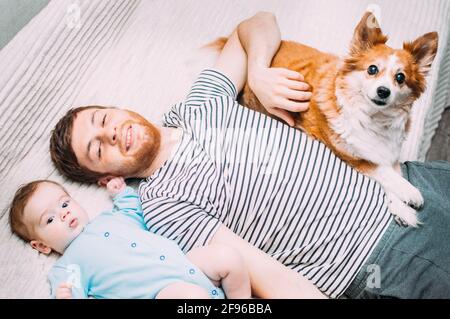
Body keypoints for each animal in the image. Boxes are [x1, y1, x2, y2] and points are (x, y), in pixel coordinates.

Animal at [214, 12, 440, 228]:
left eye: (400, 78)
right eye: (372, 69)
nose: (383, 91)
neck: (373, 118)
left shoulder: (390, 154)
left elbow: (394, 173)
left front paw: (401, 209)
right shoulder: (351, 156)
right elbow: (383, 172)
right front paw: (409, 192)